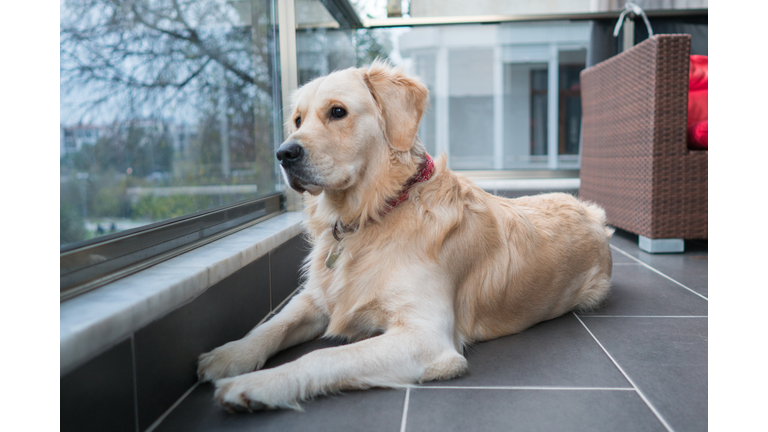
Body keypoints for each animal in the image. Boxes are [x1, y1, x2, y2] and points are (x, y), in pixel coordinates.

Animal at [196, 58, 612, 412]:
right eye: (297, 120)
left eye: (337, 112)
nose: (284, 154)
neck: (375, 213)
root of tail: (593, 213)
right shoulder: (316, 297)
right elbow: (274, 324)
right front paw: (230, 354)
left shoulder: (425, 337)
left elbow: (323, 356)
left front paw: (255, 385)